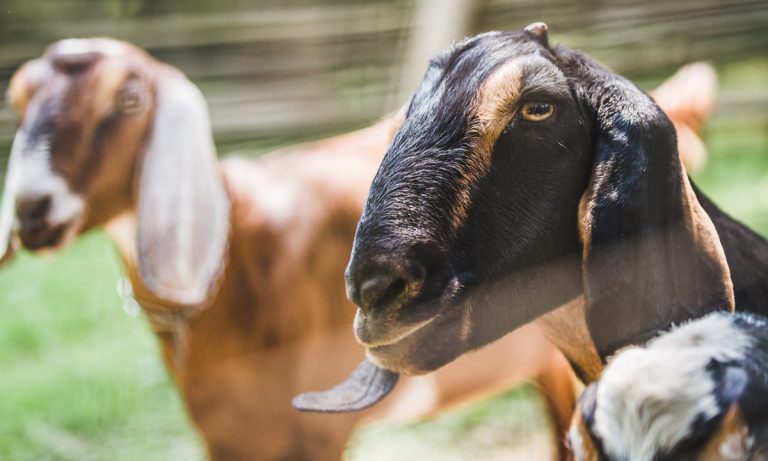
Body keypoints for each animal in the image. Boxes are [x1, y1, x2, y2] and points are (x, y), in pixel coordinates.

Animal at [0, 38, 578, 461]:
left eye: (128, 100)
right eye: (19, 101)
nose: (32, 208)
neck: (239, 253)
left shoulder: (317, 430)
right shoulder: (225, 434)